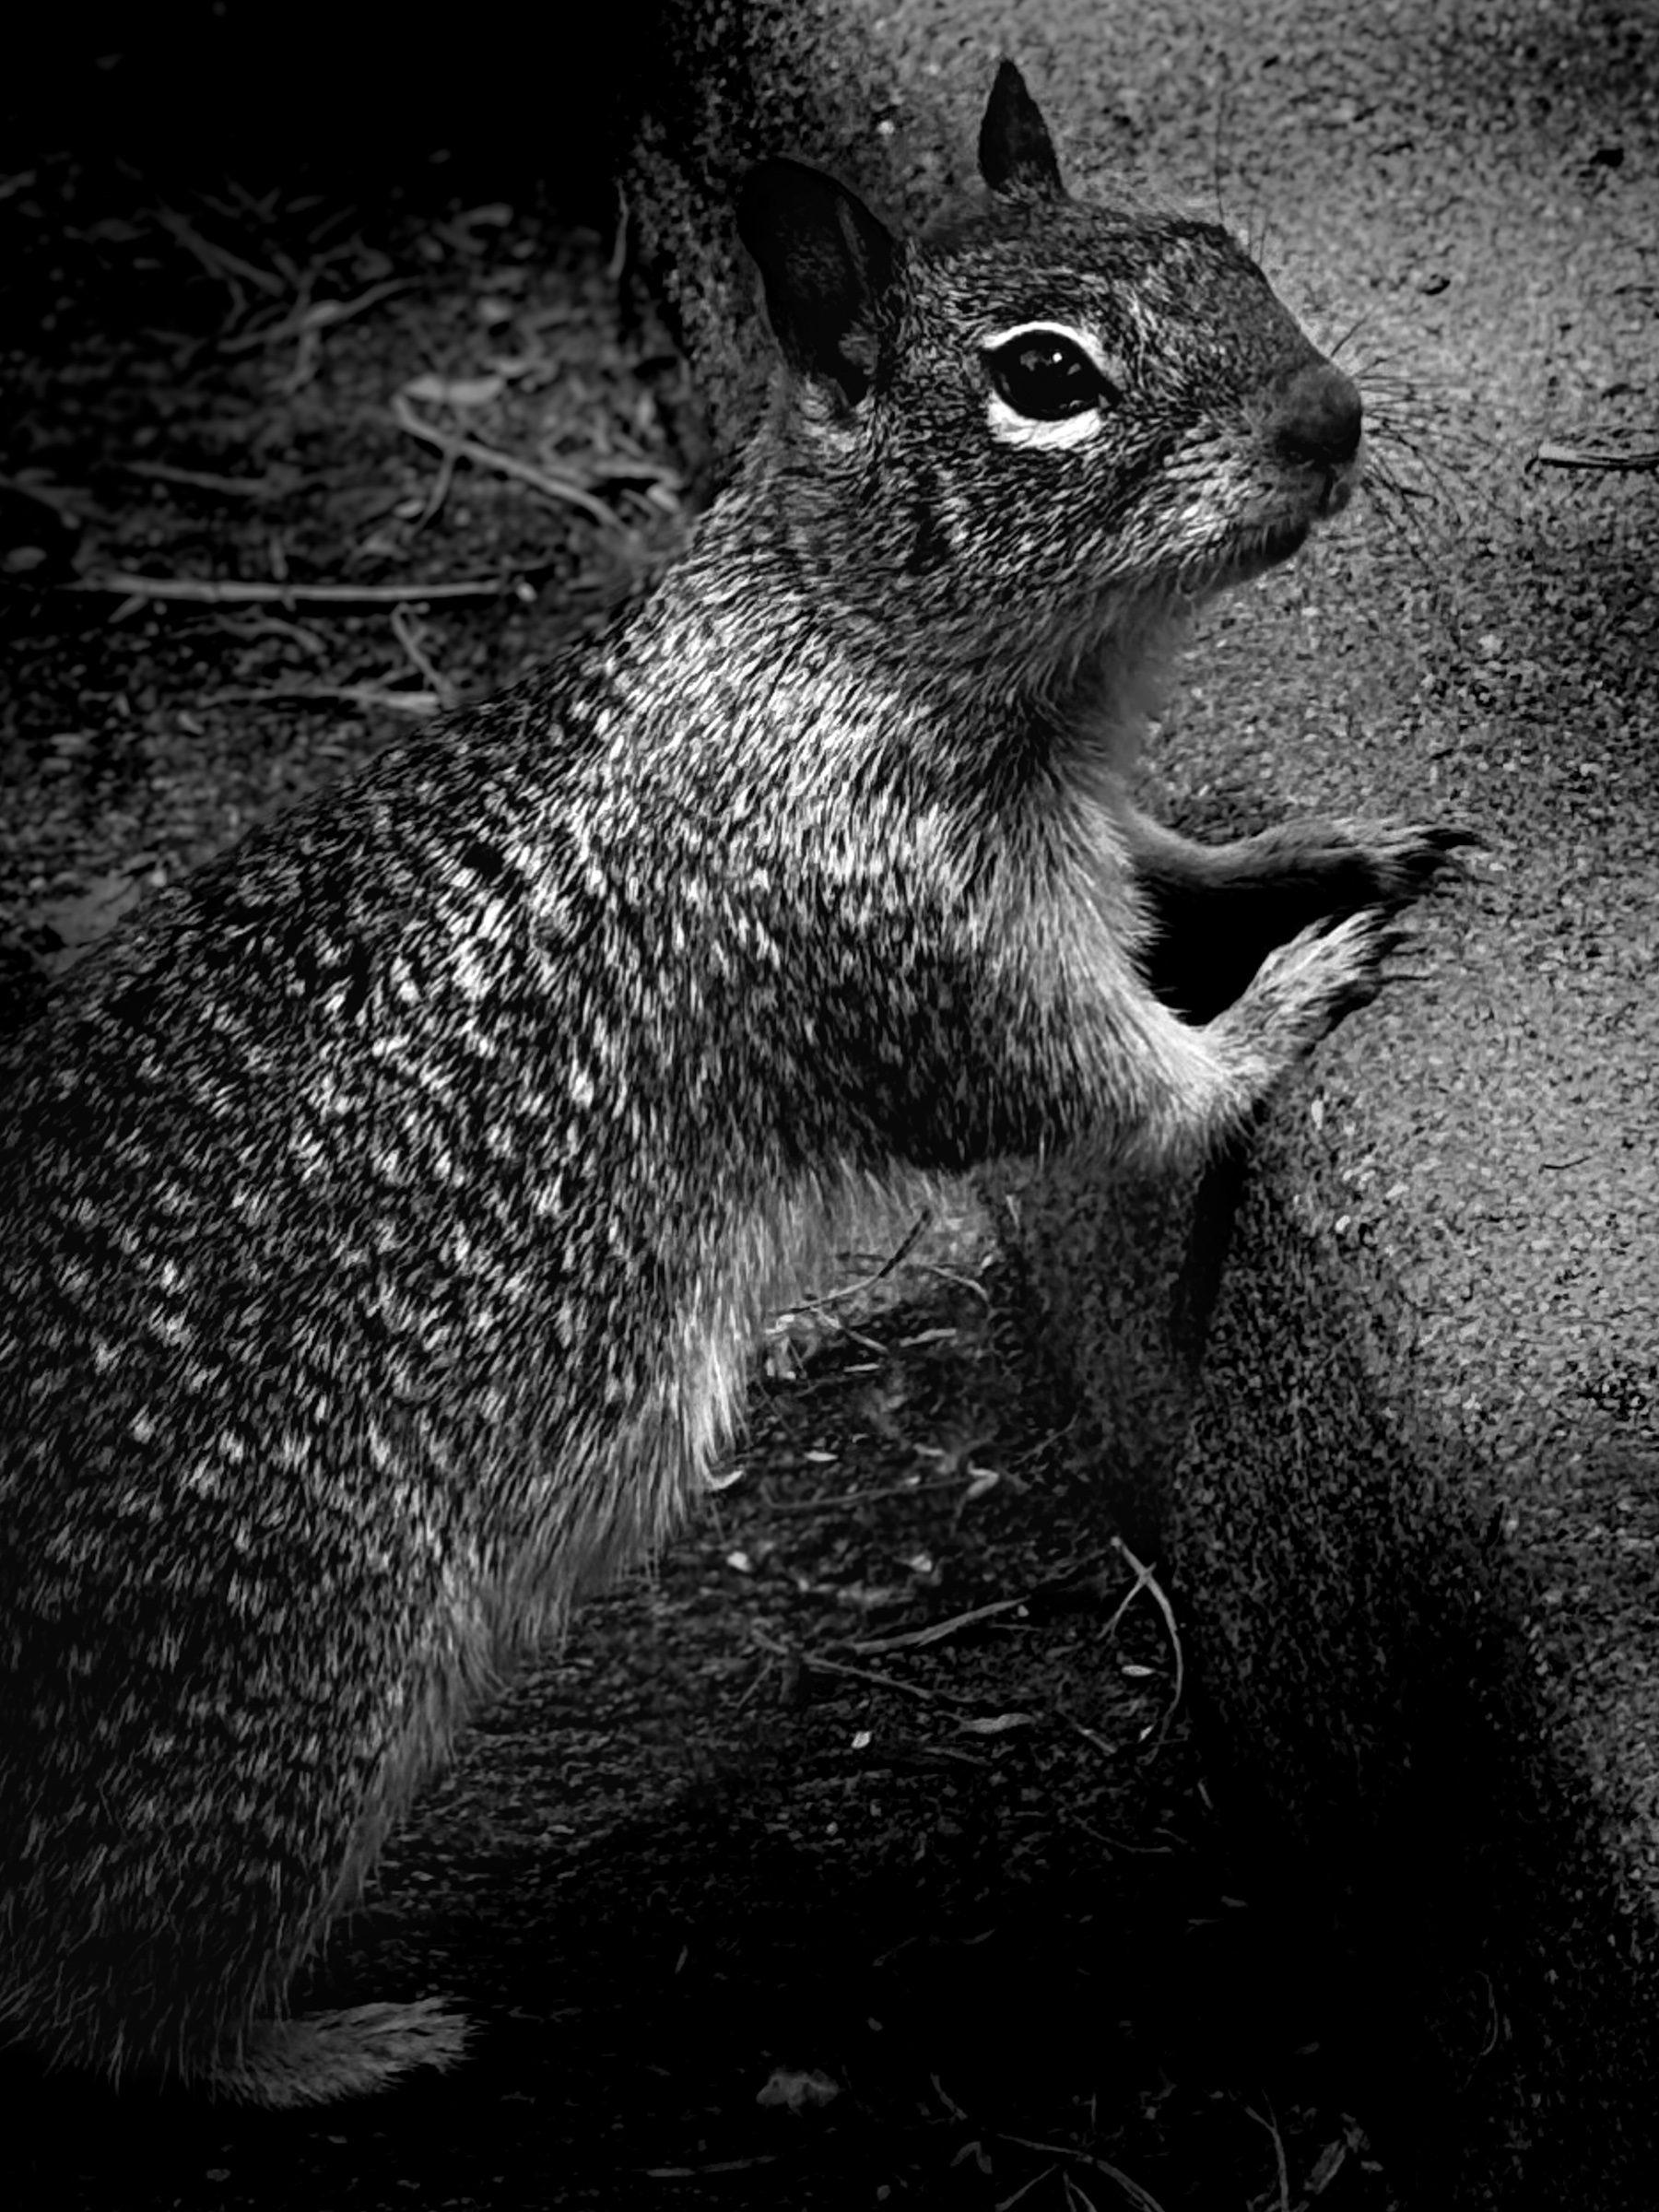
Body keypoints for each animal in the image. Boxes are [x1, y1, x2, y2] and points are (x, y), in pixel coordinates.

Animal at [0, 61, 1470, 2105]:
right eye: (1045, 376)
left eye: (1222, 245)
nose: (1329, 416)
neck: (857, 641)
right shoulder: (905, 954)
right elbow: (1118, 1095)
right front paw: (1285, 1004)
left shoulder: (1080, 844)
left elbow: (1174, 862)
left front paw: (1314, 850)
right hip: (277, 1710)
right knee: (112, 1996)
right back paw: (339, 2043)